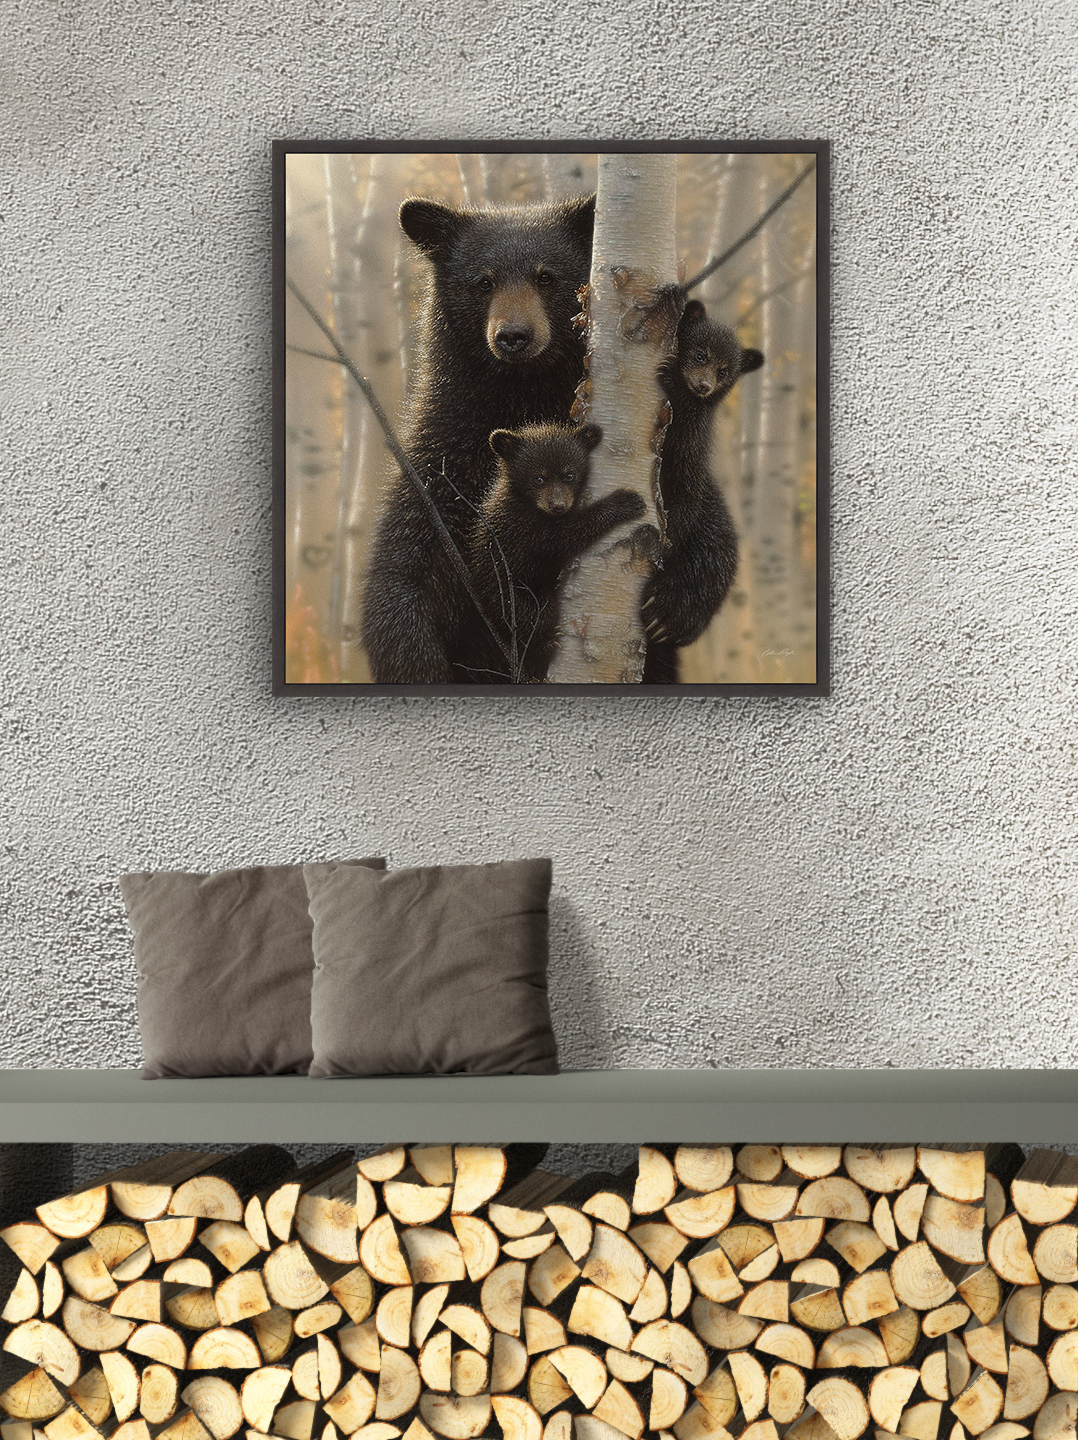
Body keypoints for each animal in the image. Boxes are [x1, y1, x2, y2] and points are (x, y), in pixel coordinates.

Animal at [361, 194, 596, 684]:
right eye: (483, 282)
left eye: (546, 276)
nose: (513, 336)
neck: (520, 398)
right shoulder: (442, 466)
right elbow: (402, 576)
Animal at [458, 423, 646, 683]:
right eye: (538, 478)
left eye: (569, 475)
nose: (557, 505)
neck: (526, 501)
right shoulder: (523, 527)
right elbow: (564, 537)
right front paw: (625, 501)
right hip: (507, 594)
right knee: (532, 616)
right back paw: (544, 646)